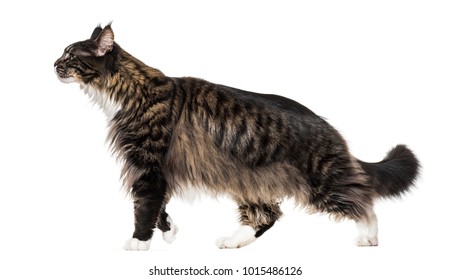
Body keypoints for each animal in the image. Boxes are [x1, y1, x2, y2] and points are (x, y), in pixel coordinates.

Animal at [55, 25, 420, 250]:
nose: (54, 64)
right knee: (267, 215)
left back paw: (368, 237)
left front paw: (139, 242)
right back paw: (234, 241)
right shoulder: (155, 170)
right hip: (249, 179)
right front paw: (170, 233)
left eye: (71, 56)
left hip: (322, 182)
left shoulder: (148, 165)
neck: (132, 90)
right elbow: (159, 207)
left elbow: (144, 206)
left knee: (365, 202)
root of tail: (325, 125)